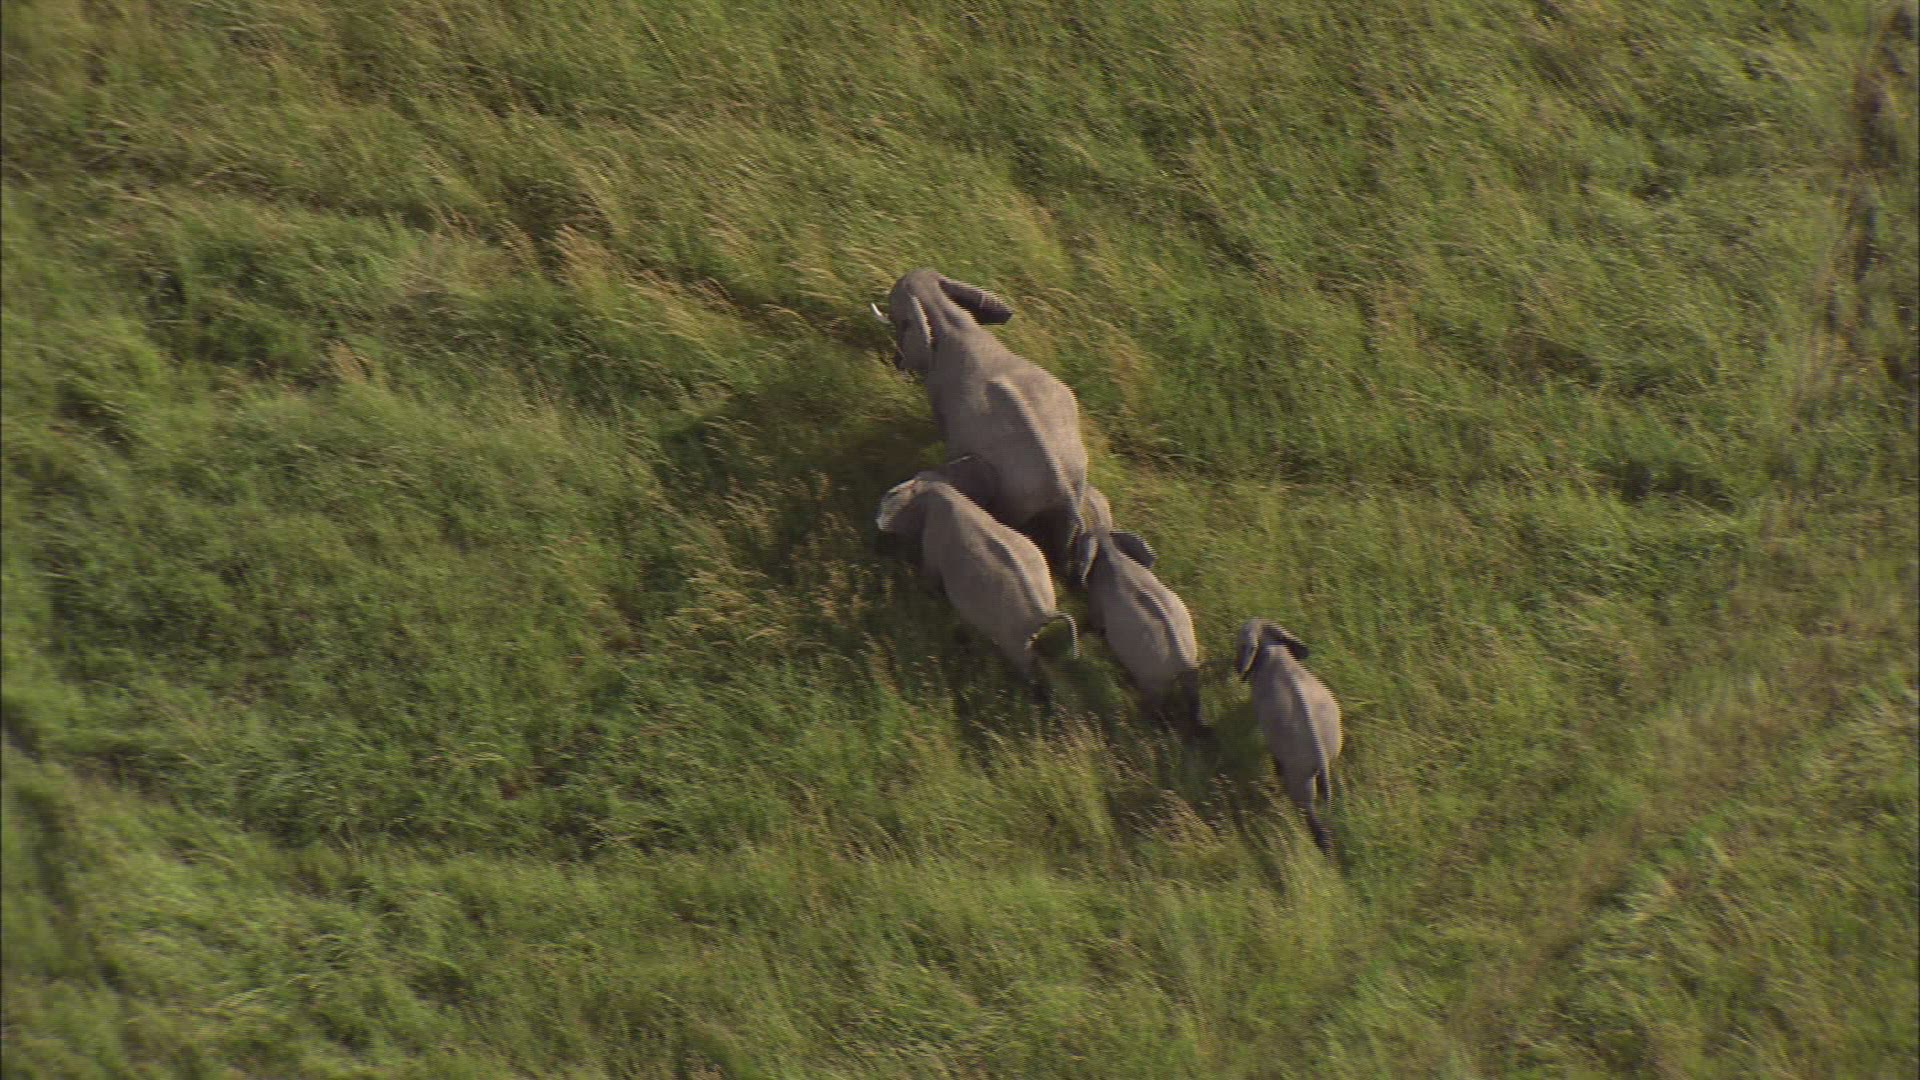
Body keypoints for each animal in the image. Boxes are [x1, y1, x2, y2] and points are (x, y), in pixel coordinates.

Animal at [873, 269, 1089, 567]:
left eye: (895, 306)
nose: (895, 362)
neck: (955, 322)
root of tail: (1066, 490)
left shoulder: (940, 392)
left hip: (1017, 497)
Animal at [875, 469, 1077, 686]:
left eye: (892, 494)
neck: (943, 489)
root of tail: (1046, 613)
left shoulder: (933, 540)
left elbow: (930, 574)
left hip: (1015, 634)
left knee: (1023, 662)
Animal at [1071, 526, 1209, 743]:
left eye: (1080, 540)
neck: (1111, 548)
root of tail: (1185, 661)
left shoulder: (1097, 599)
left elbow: (1094, 624)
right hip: (1188, 666)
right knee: (1192, 695)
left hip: (1153, 676)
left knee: (1155, 705)